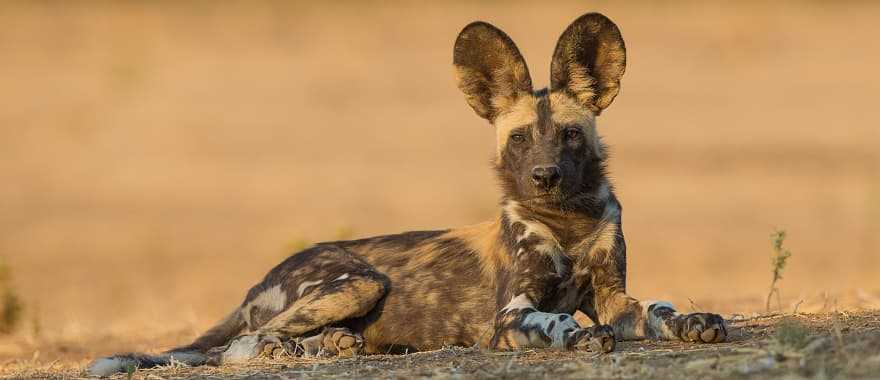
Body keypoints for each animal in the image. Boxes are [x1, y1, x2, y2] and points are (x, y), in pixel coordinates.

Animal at [86, 12, 724, 378]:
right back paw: (285, 352)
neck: (565, 222)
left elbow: (659, 307)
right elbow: (555, 321)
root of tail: (260, 279)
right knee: (240, 344)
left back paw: (334, 347)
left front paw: (695, 321)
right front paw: (577, 335)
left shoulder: (615, 297)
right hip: (358, 281)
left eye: (569, 134)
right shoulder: (510, 316)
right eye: (520, 138)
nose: (544, 176)